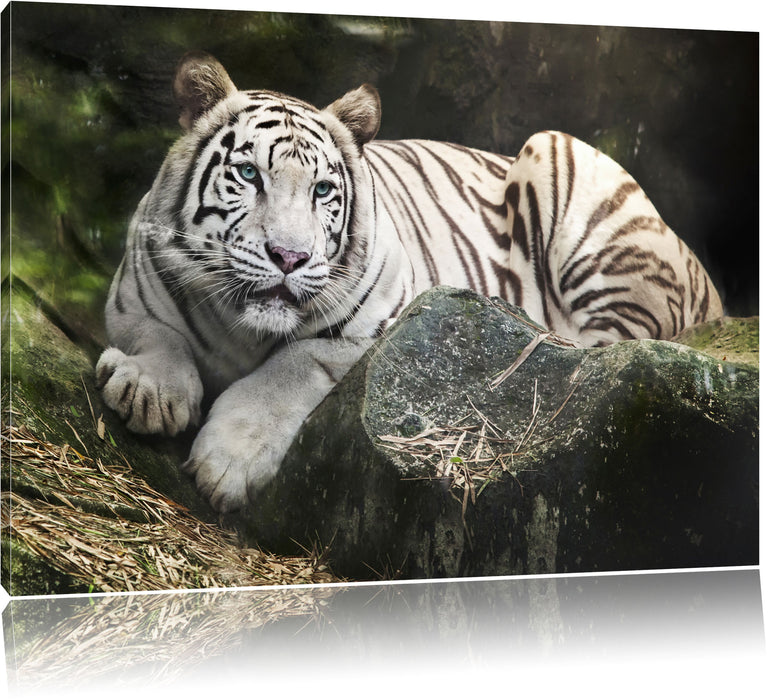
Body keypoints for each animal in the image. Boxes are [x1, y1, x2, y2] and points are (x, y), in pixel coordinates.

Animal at [95, 51, 723, 513]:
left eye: (323, 190)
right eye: (248, 174)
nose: (290, 256)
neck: (242, 329)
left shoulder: (378, 323)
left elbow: (292, 365)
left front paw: (227, 462)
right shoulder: (131, 295)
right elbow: (157, 335)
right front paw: (149, 390)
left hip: (564, 159)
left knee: (604, 350)